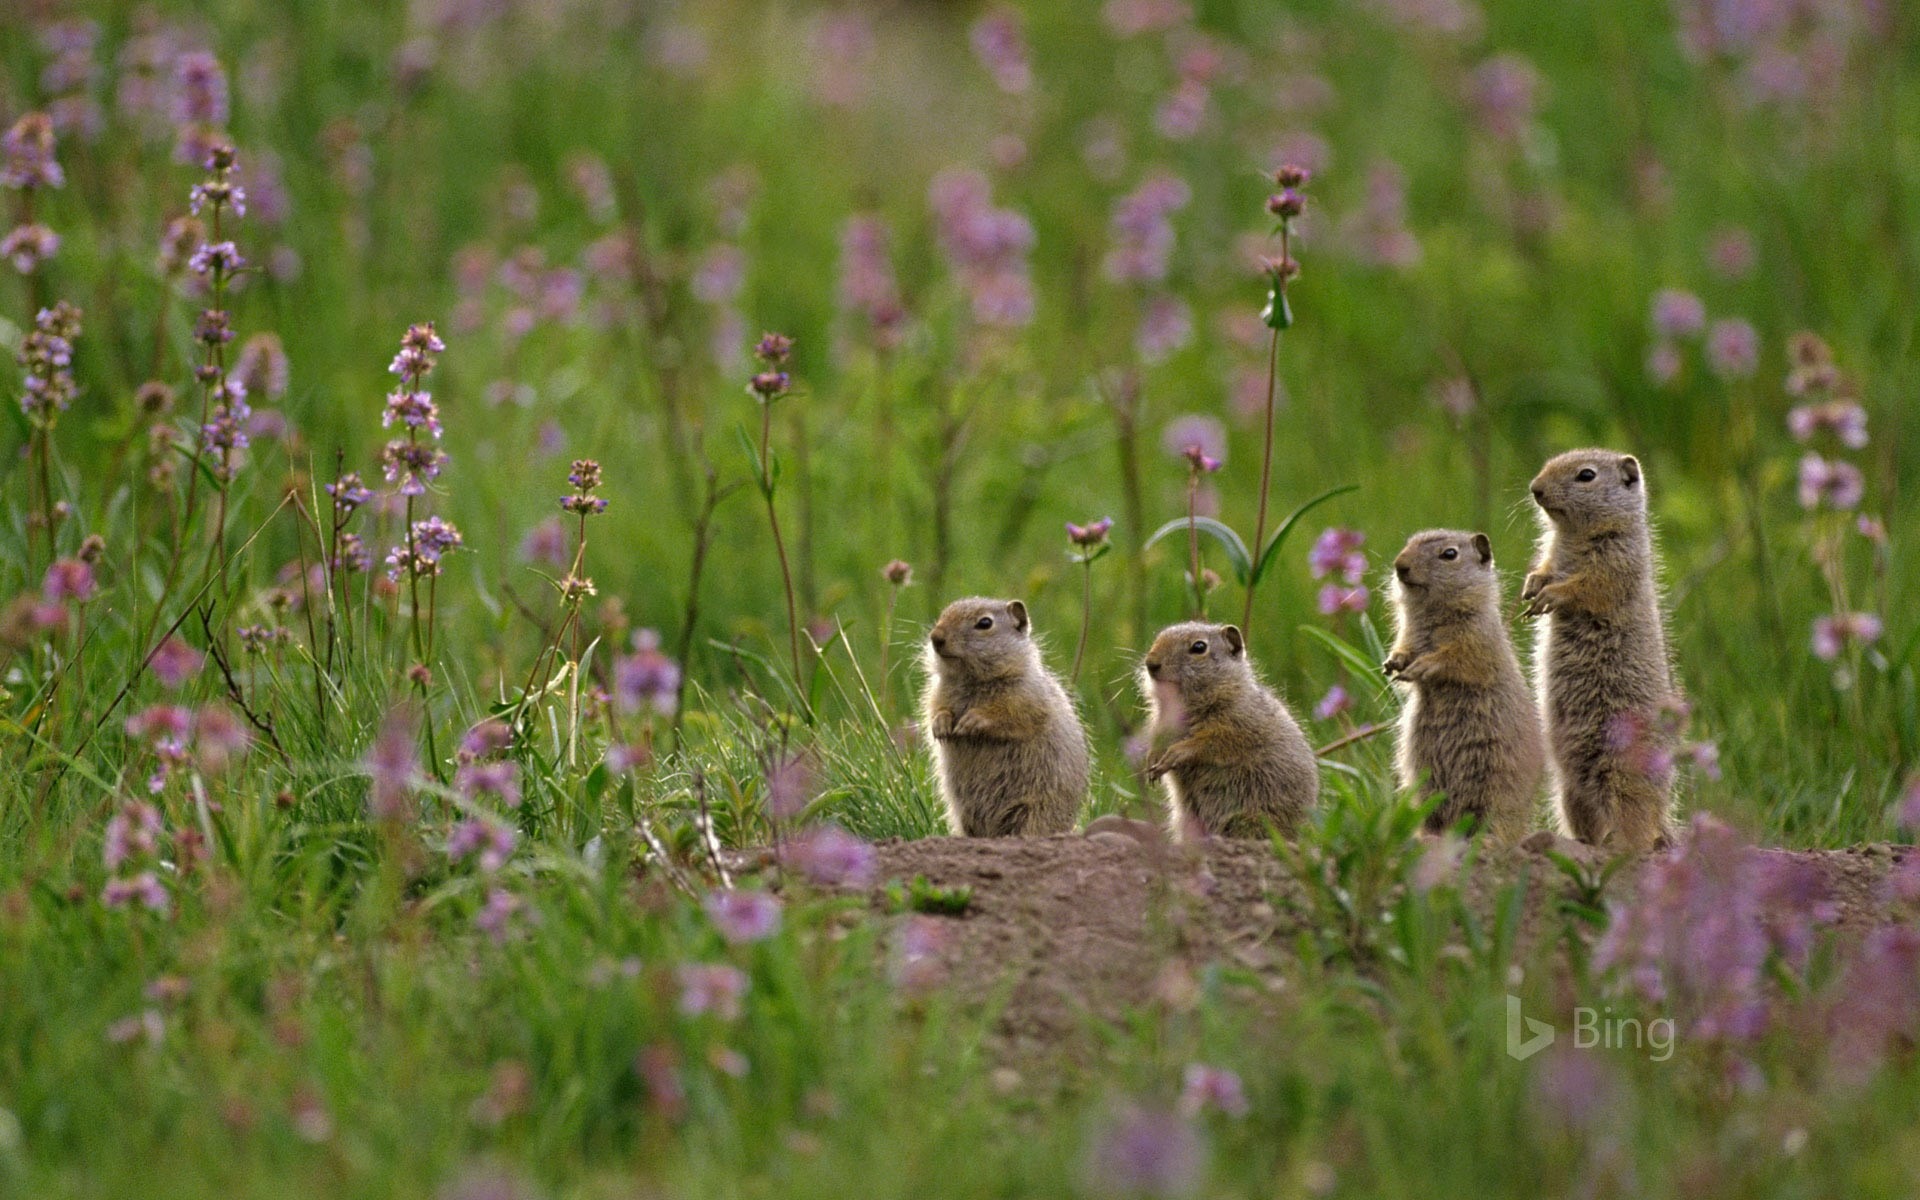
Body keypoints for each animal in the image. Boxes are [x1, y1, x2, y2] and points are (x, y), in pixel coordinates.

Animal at [917, 595, 1090, 833]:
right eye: (943, 613)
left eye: (985, 623)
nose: (936, 637)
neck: (973, 681)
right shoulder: (936, 692)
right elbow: (935, 709)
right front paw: (941, 724)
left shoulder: (1026, 697)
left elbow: (1010, 716)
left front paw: (972, 721)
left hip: (1033, 813)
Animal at [1136, 622, 1320, 837]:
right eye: (1158, 637)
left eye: (1199, 647)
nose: (1151, 663)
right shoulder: (1162, 724)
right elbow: (1159, 741)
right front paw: (1152, 761)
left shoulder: (1237, 726)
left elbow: (1209, 743)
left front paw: (1176, 753)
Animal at [1382, 522, 1543, 840]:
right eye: (1408, 543)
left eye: (1449, 554)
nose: (1399, 565)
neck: (1432, 613)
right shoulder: (1409, 634)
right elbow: (1404, 649)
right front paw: (1393, 662)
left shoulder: (1476, 637)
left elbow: (1457, 658)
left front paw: (1422, 666)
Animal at [1528, 449, 1681, 852]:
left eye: (1586, 475)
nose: (1535, 488)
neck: (1572, 535)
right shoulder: (1552, 553)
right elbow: (1545, 567)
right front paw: (1532, 586)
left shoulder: (1617, 558)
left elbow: (1590, 585)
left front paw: (1552, 595)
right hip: (1570, 793)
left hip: (1624, 777)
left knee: (1637, 829)